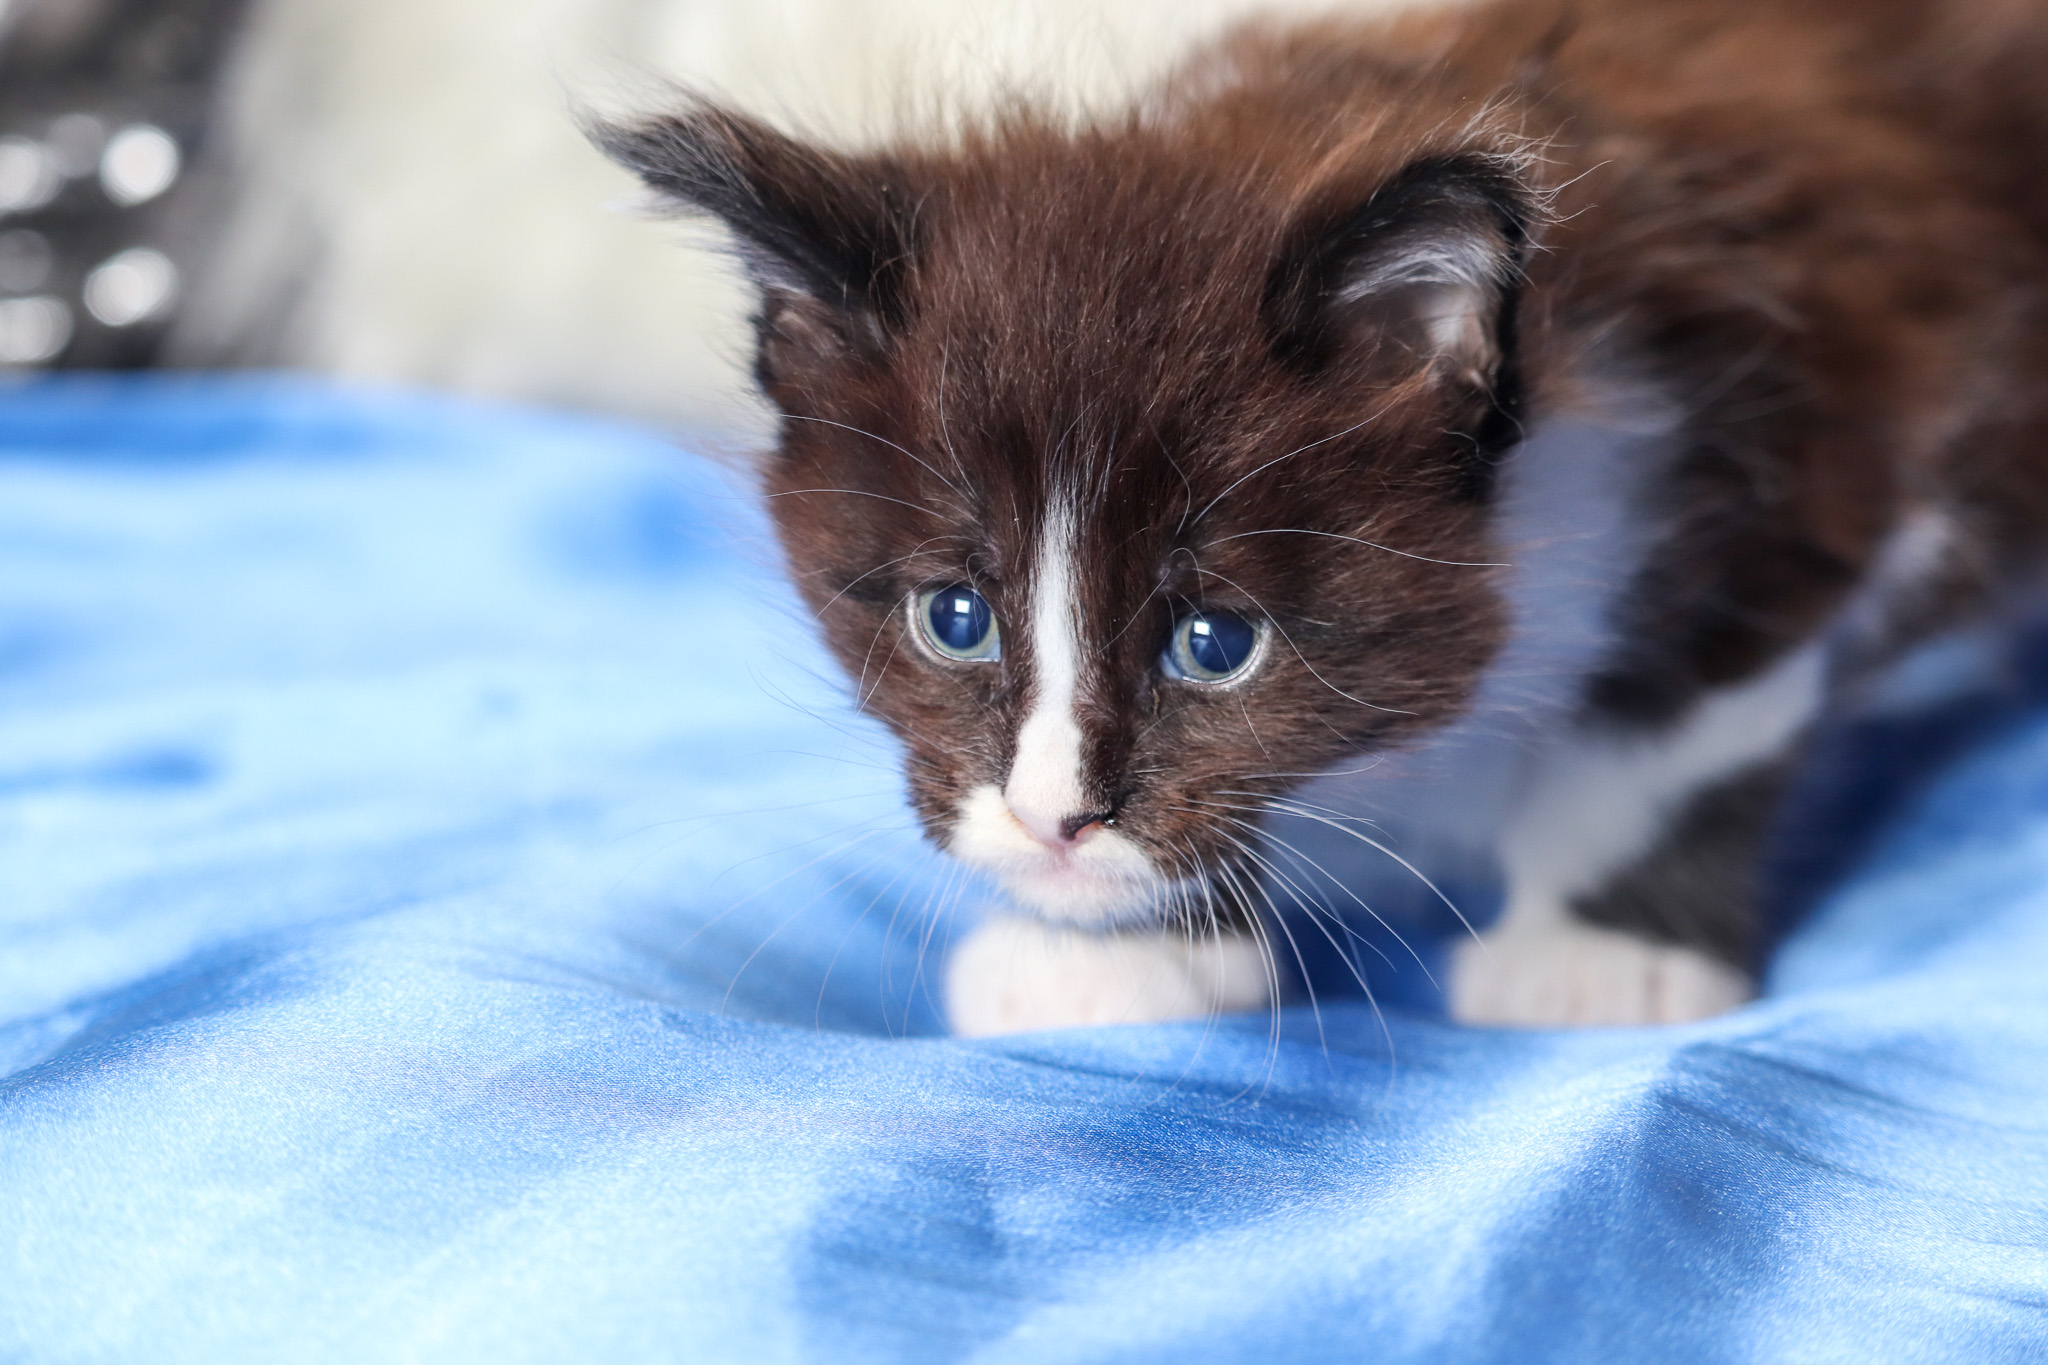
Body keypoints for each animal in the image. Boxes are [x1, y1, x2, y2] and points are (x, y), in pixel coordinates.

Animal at [589, 0, 2048, 1031]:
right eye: (952, 618)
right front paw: (1116, 952)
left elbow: (1651, 750)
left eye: (1214, 644)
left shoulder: (1801, 461)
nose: (1055, 825)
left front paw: (1595, 951)